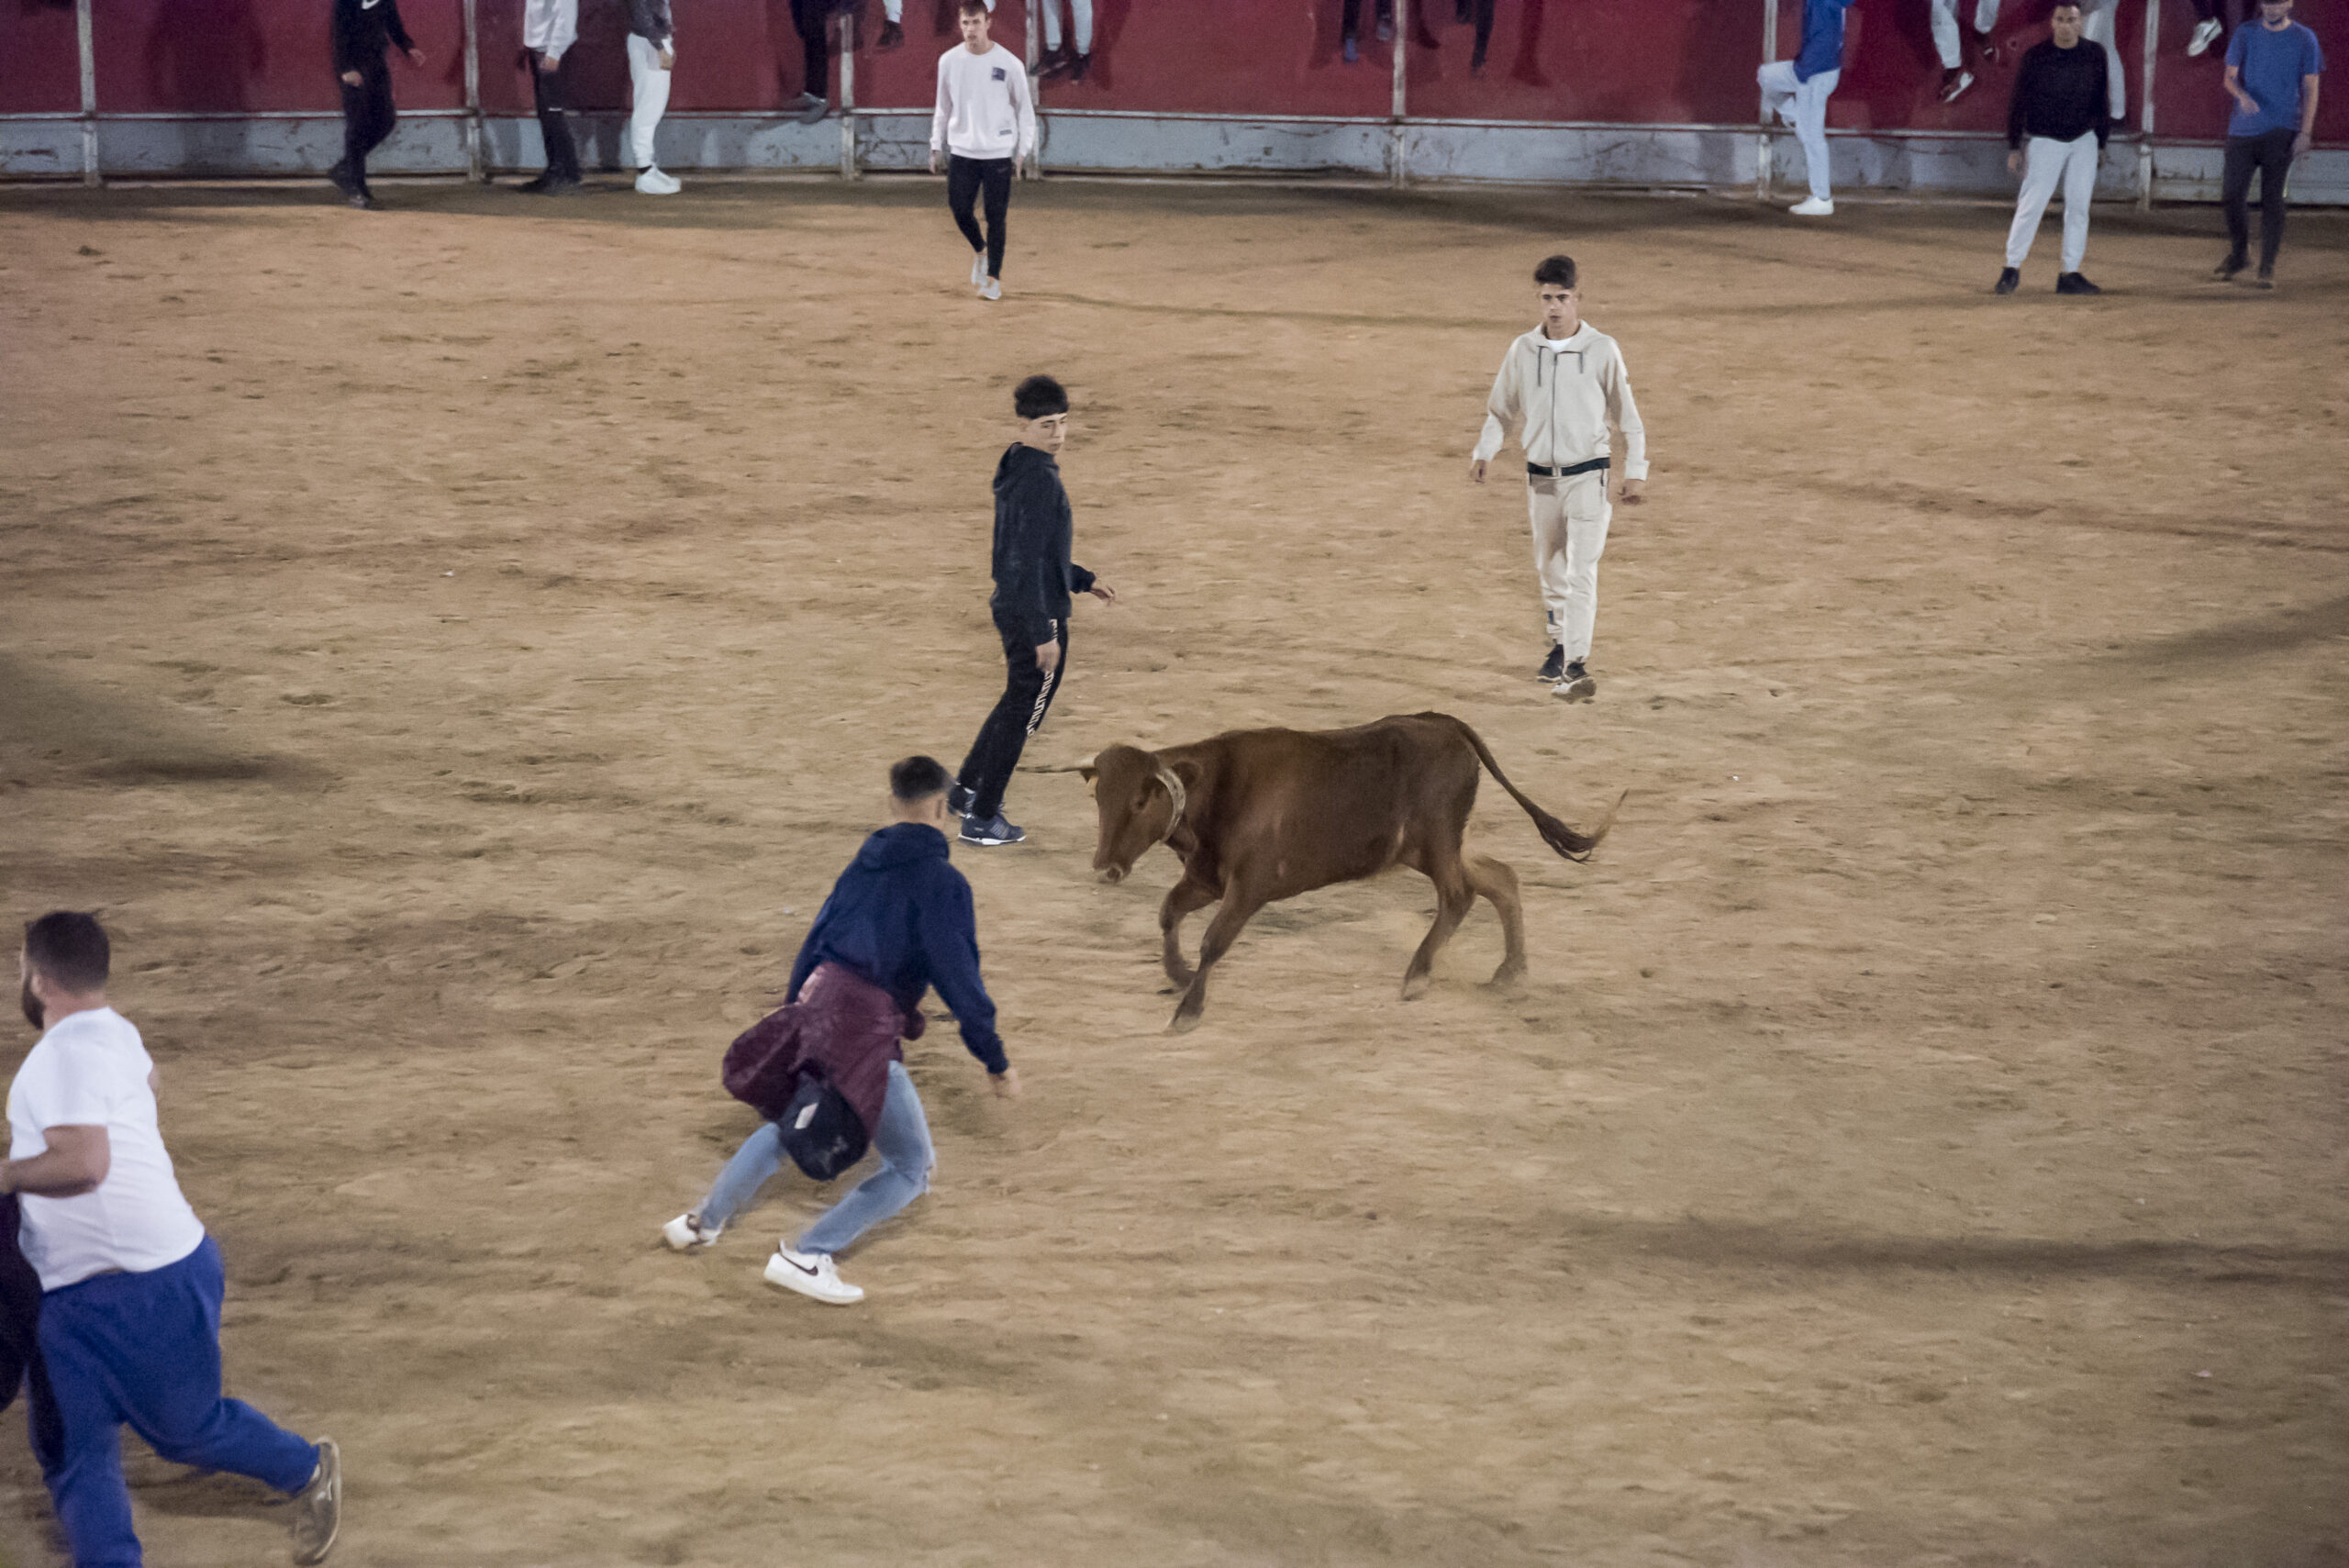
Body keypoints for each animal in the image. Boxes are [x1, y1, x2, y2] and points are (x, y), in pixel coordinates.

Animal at [1075, 708, 1616, 1028]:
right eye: (1099, 797)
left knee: (1459, 896)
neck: (1218, 788)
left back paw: (1418, 976)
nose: (1106, 867)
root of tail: (1441, 723)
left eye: (1141, 799)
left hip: (1437, 842)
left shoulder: (1249, 888)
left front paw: (1189, 1009)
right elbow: (1169, 912)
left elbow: (1214, 941)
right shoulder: (1205, 879)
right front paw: (1179, 973)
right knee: (1500, 879)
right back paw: (1510, 973)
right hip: (1423, 849)